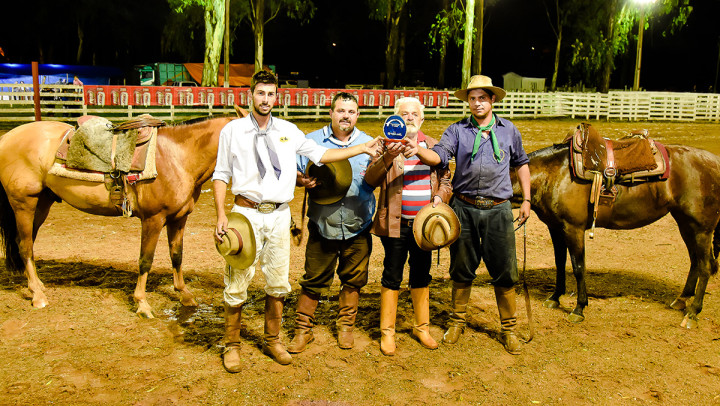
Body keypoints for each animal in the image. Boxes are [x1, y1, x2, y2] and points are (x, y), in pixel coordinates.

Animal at [0, 114, 242, 318]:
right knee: (25, 246)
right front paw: (142, 304)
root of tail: (7, 137)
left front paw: (184, 295)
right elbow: (145, 260)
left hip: (42, 203)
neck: (178, 157)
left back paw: (37, 286)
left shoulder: (178, 218)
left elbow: (177, 256)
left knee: (27, 244)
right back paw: (38, 296)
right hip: (24, 204)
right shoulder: (153, 219)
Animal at [512, 138, 720, 328]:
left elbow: (578, 267)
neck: (554, 174)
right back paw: (682, 300)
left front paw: (579, 309)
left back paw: (693, 313)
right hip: (685, 224)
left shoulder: (573, 228)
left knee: (705, 266)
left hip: (702, 229)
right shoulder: (555, 228)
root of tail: (715, 162)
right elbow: (560, 263)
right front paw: (555, 298)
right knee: (695, 261)